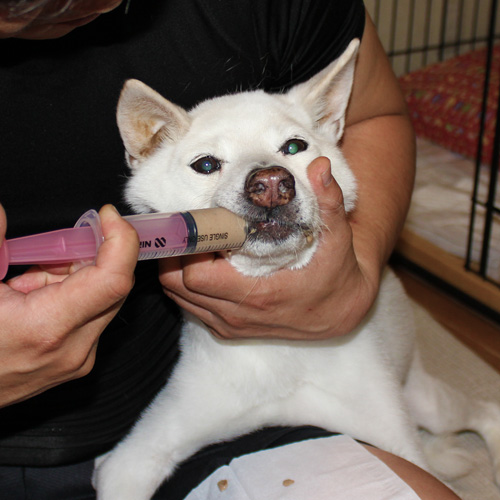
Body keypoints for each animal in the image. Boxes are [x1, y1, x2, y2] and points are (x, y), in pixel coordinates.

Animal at [92, 40, 500, 500]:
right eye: (207, 164)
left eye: (292, 147)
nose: (271, 183)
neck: (279, 350)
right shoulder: (134, 459)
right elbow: (121, 465)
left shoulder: (398, 440)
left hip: (427, 403)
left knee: (486, 411)